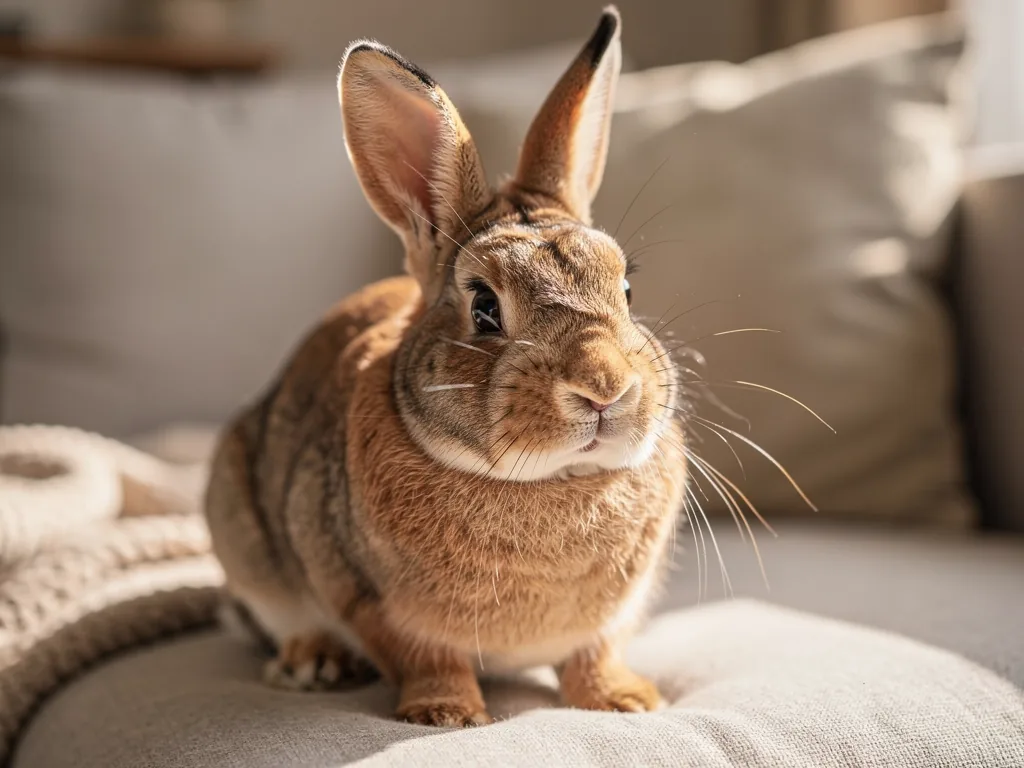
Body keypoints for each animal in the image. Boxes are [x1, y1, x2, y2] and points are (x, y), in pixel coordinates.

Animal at [204, 5, 687, 727]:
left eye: (626, 289)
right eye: (484, 307)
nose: (605, 389)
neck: (549, 481)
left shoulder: (610, 623)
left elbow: (593, 654)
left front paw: (624, 701)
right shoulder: (369, 600)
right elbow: (425, 656)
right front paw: (446, 715)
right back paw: (313, 663)